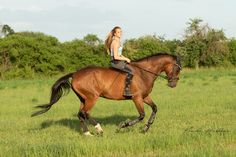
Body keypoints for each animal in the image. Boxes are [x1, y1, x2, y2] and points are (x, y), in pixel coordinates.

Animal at [31, 53, 183, 136]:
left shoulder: (144, 97)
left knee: (80, 114)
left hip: (83, 99)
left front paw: (146, 128)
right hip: (92, 97)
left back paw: (88, 133)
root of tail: (75, 74)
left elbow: (155, 108)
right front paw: (123, 125)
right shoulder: (137, 98)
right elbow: (141, 115)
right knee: (85, 113)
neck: (144, 72)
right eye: (177, 68)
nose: (173, 84)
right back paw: (99, 129)